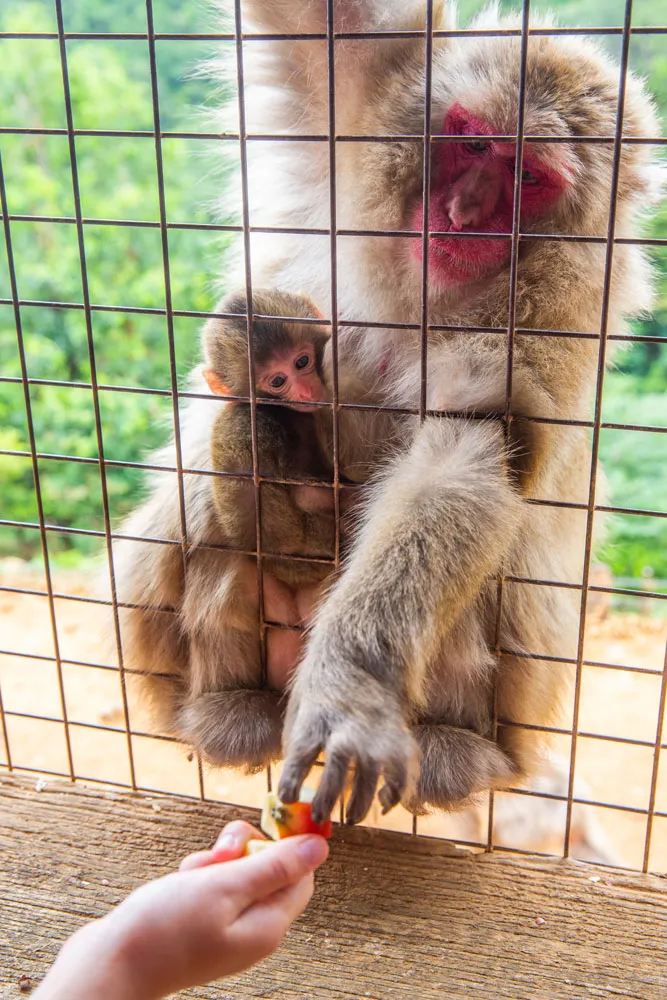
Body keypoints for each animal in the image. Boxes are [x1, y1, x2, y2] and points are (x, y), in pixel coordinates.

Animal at [110, 2, 660, 818]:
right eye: (472, 140)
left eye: (526, 176)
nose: (462, 214)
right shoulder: (365, 93)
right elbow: (324, 23)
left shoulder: (568, 290)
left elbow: (475, 442)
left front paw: (353, 686)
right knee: (215, 486)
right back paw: (230, 709)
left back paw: (450, 748)